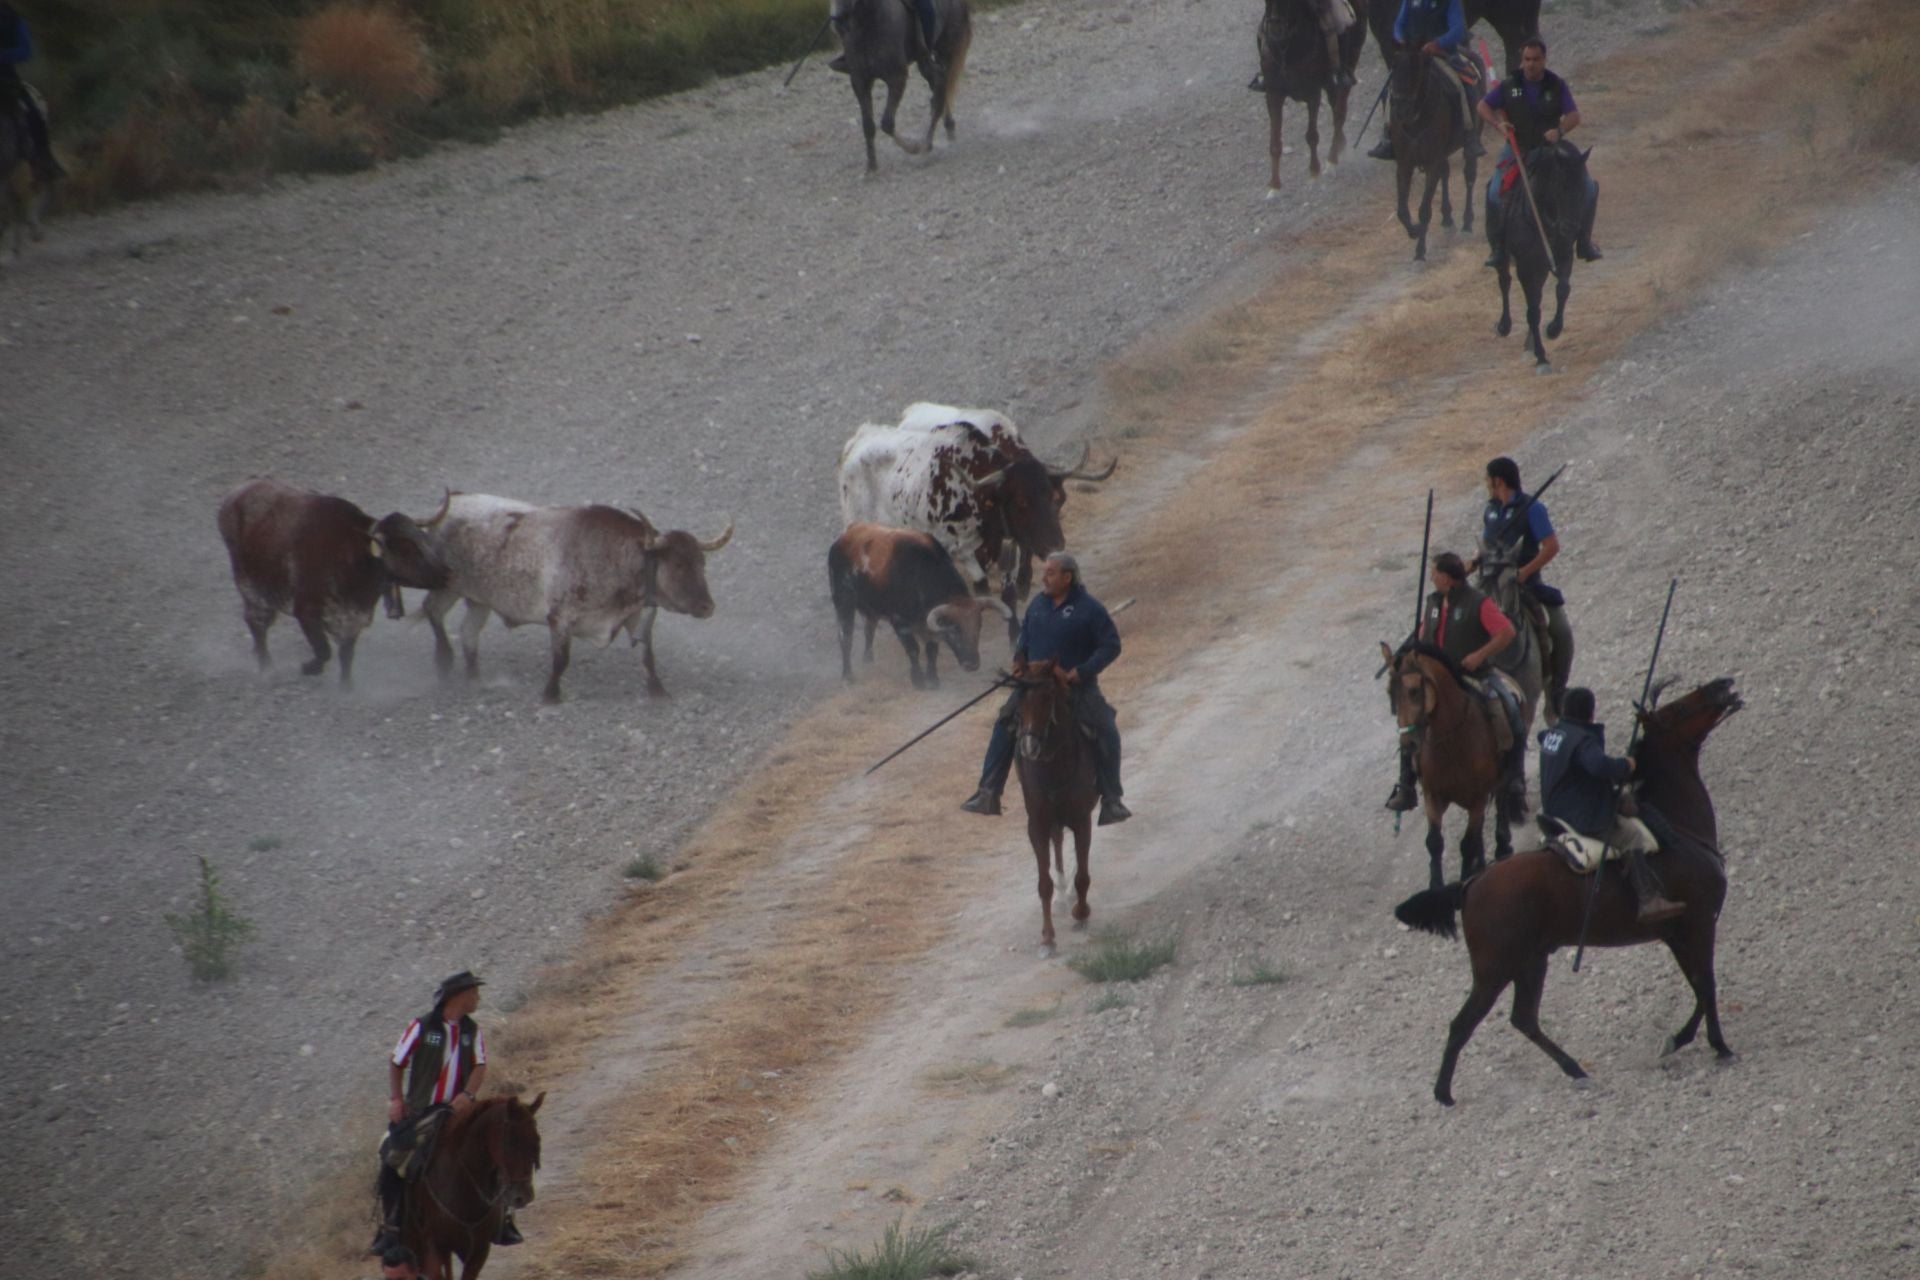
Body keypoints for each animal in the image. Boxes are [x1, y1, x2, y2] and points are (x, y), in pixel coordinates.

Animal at [1021, 660, 1098, 951]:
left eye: (1046, 697)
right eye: (1019, 698)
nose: (1029, 746)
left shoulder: (1081, 818)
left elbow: (1083, 875)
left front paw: (1082, 914)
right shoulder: (1037, 824)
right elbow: (1044, 883)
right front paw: (1047, 938)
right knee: (1058, 842)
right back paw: (1062, 897)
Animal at [1390, 640, 1536, 890]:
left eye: (1414, 690)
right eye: (1390, 693)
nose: (1408, 743)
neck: (1452, 740)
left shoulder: (1478, 797)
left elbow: (1467, 843)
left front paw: (1467, 876)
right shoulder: (1433, 795)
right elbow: (1435, 842)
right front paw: (1436, 886)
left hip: (1502, 777)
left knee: (1502, 802)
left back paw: (1502, 846)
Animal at [1397, 675, 1743, 1105]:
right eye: (1678, 709)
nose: (1723, 684)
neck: (1678, 825)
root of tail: (1471, 884)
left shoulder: (1676, 932)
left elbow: (1698, 984)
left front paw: (1680, 1039)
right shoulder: (1699, 922)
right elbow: (1706, 982)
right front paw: (1717, 1045)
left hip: (1530, 961)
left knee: (1524, 1019)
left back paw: (1574, 1069)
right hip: (1495, 969)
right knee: (1464, 1023)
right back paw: (1444, 1093)